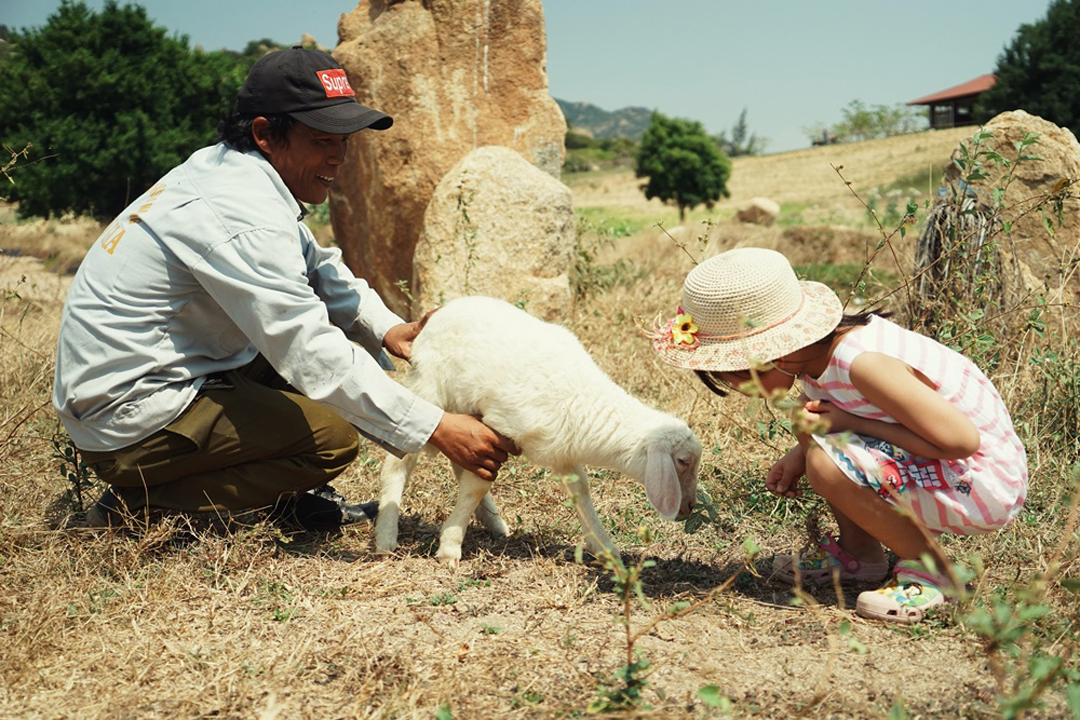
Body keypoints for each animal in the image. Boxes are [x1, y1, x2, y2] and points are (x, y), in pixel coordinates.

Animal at [375, 295, 704, 565]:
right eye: (683, 461)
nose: (689, 506)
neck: (582, 396)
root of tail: (440, 313)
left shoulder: (562, 451)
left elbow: (581, 492)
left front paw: (604, 549)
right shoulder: (498, 429)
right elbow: (476, 485)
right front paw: (450, 548)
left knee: (459, 461)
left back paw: (493, 522)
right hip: (429, 388)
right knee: (399, 461)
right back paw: (386, 536)